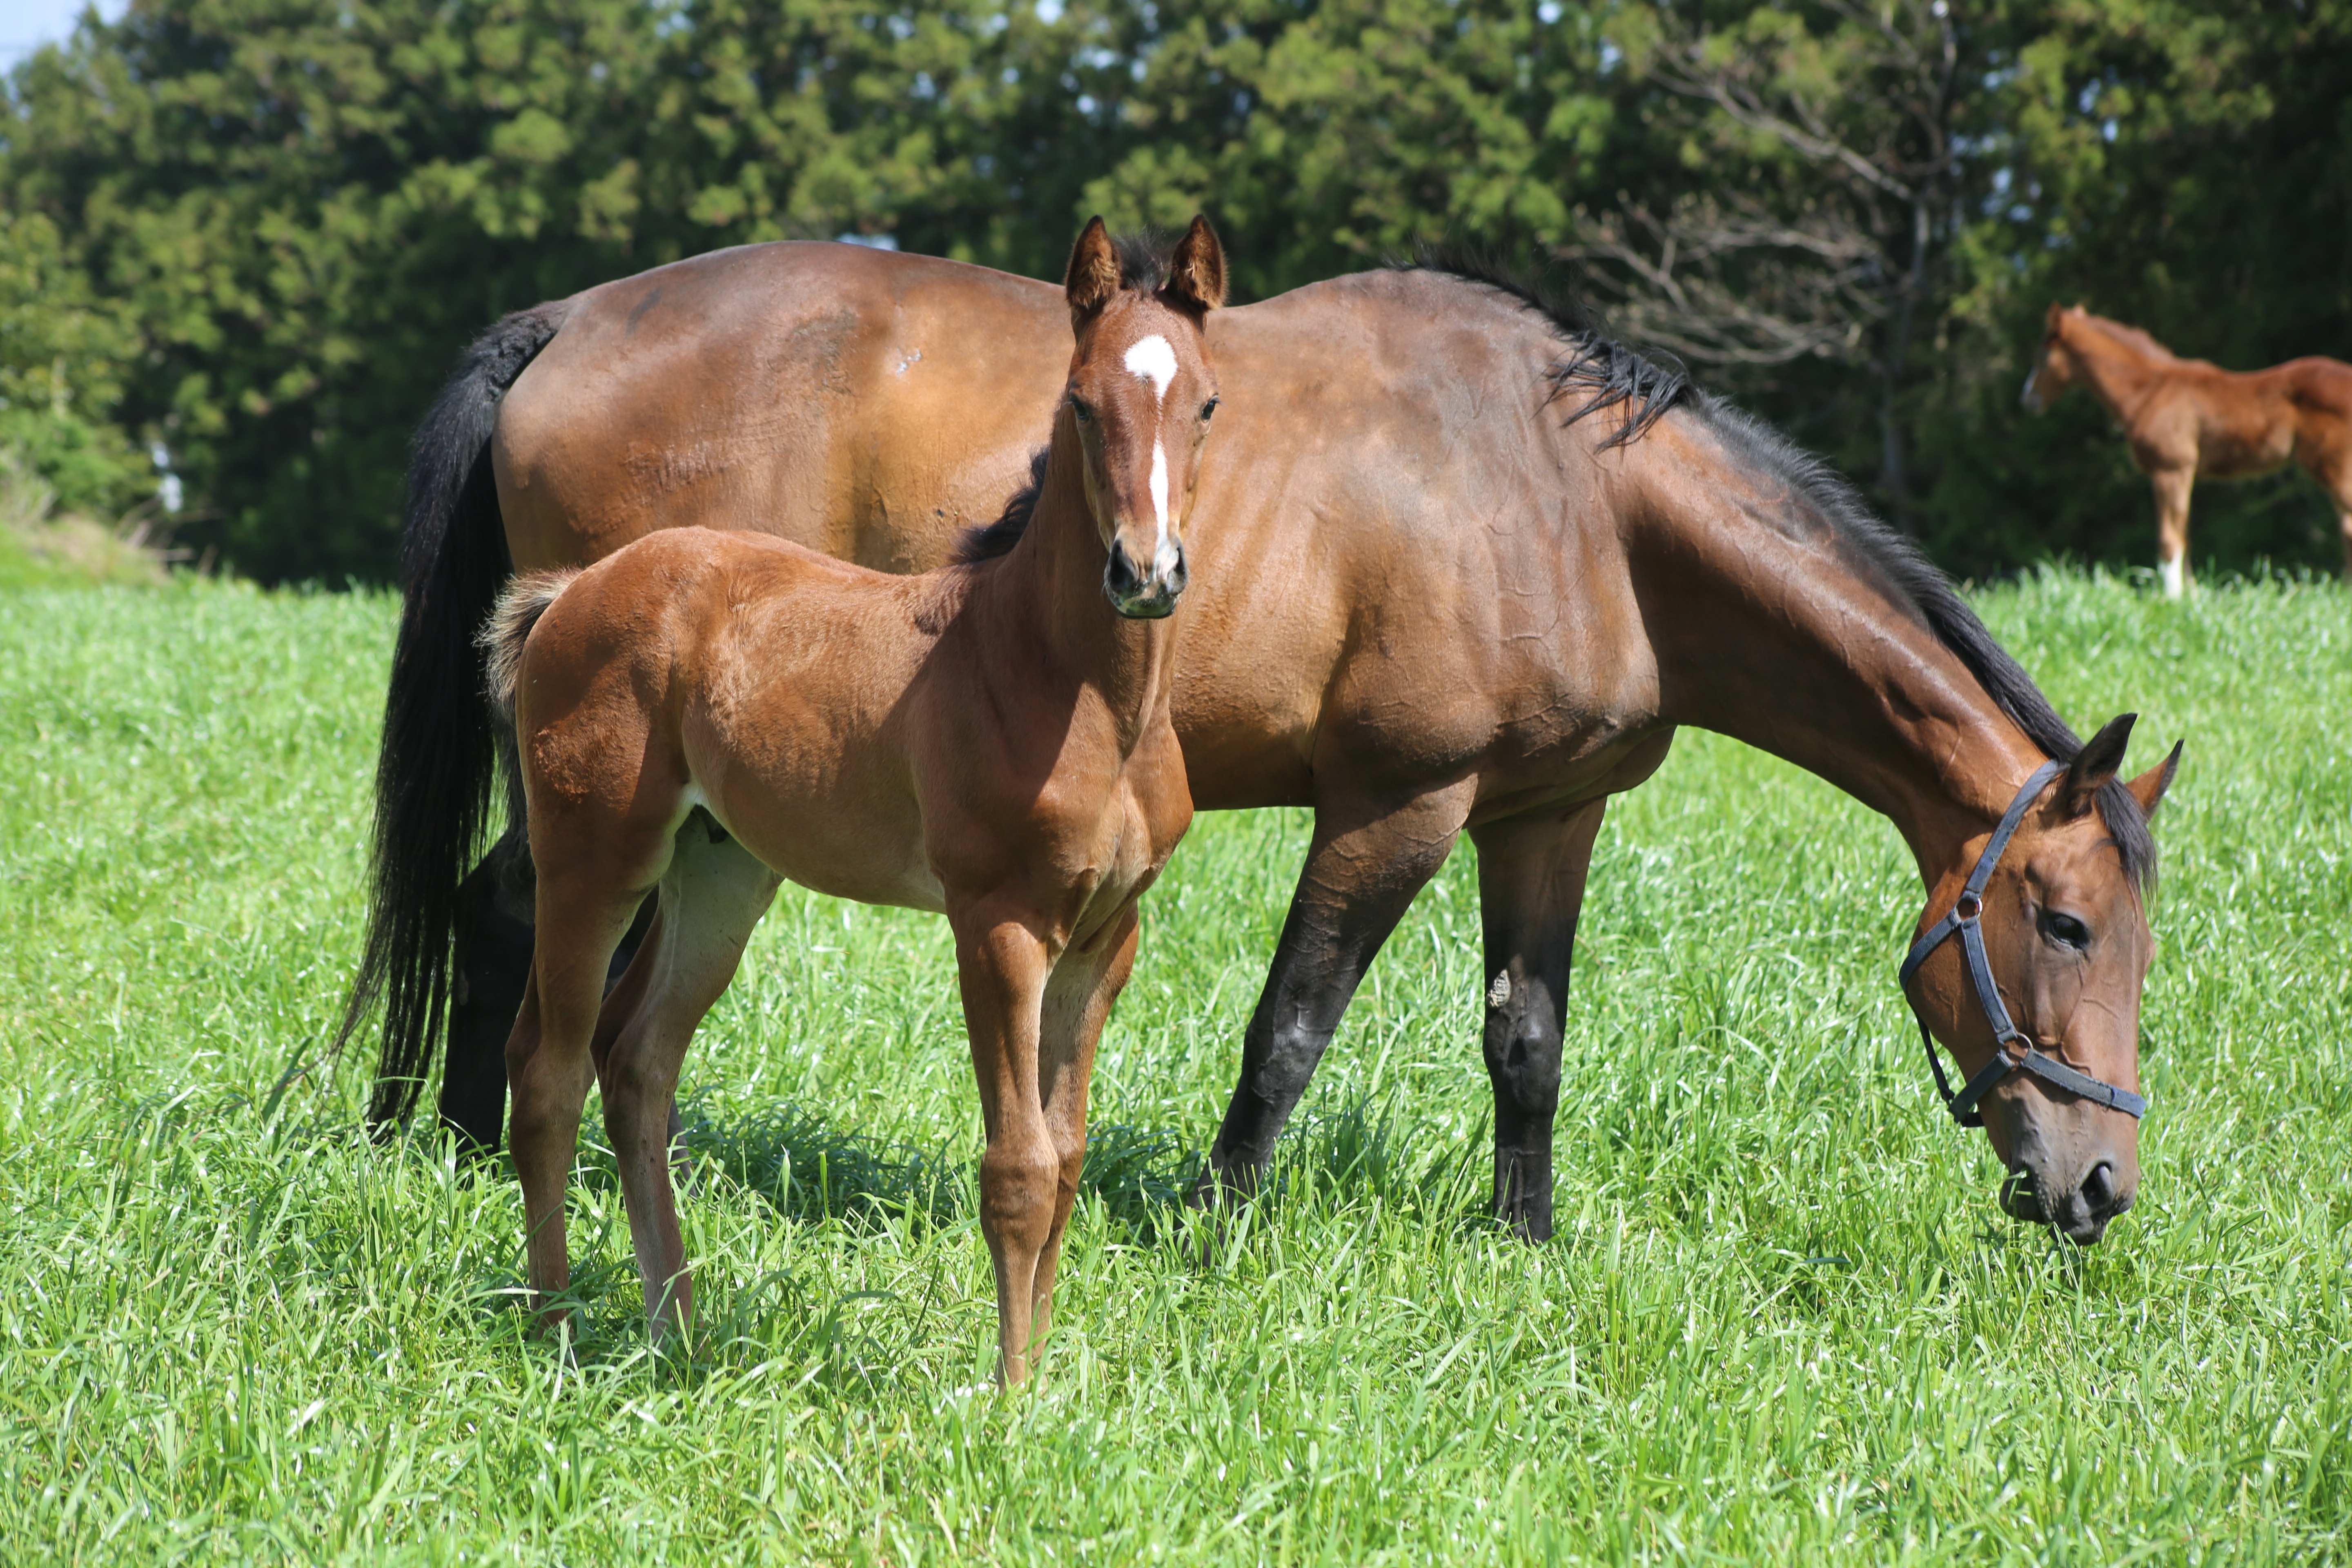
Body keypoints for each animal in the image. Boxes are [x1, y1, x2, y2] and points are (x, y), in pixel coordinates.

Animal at [348, 245, 2183, 1250]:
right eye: (2065, 921)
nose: (2100, 1183)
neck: (1569, 502)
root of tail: (576, 321)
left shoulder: (1546, 817)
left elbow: (1528, 1040)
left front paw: (1523, 1239)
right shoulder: (1396, 803)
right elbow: (1289, 1030)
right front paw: (1218, 1230)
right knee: (515, 913)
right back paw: (463, 1156)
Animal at [491, 217, 1232, 1382]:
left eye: (1204, 403)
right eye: (1079, 401)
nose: (1144, 573)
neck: (1068, 684)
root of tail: (575, 590)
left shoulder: (1106, 935)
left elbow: (1066, 1158)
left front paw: (1044, 1380)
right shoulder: (999, 925)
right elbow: (1017, 1167)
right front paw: (1009, 1396)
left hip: (719, 875)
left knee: (637, 1062)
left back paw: (678, 1329)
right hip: (593, 863)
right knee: (547, 1072)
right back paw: (557, 1325)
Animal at [2022, 303, 2352, 597]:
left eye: (2043, 355)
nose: (2027, 400)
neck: (2149, 391)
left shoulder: (2171, 470)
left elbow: (2170, 539)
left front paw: (2172, 598)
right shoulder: (2179, 474)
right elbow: (2184, 535)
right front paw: (2192, 598)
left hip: (2333, 466)